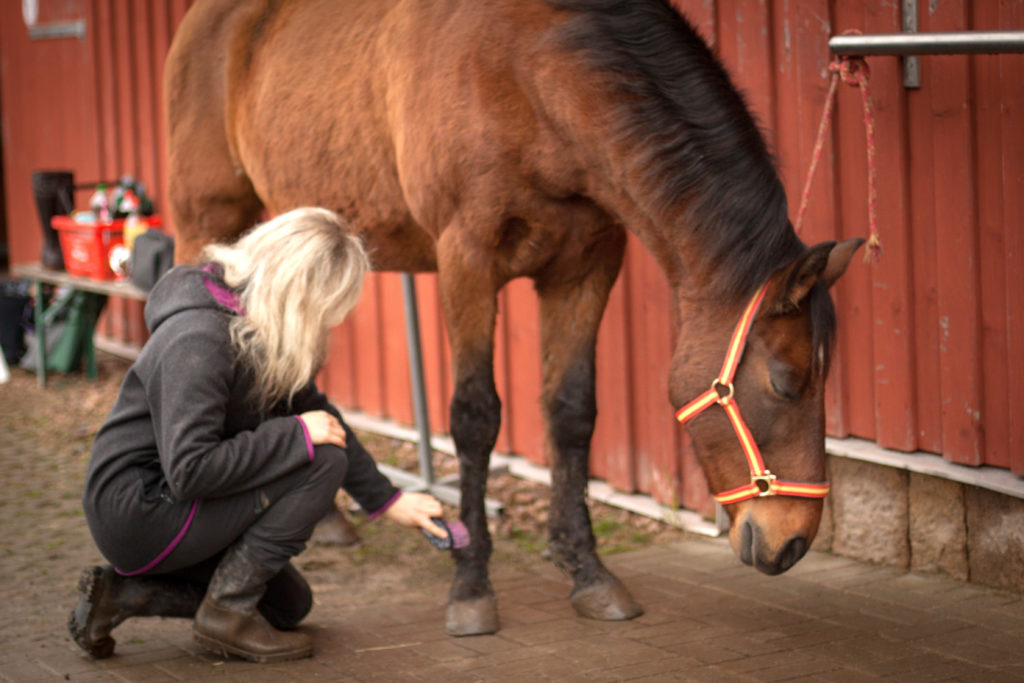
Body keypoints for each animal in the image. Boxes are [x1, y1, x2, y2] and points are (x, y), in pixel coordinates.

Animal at [165, 0, 864, 638]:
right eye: (785, 382)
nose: (791, 543)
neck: (531, 74)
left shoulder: (586, 266)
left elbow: (571, 412)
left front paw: (586, 571)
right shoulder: (466, 260)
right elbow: (475, 418)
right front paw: (471, 584)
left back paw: (331, 521)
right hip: (208, 218)